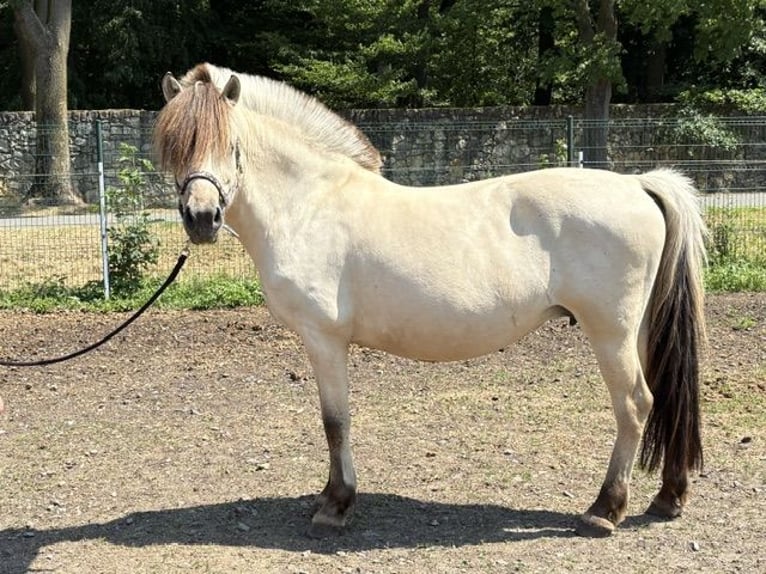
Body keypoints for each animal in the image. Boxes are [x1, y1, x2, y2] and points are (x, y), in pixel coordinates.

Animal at [153, 63, 707, 538]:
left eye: (231, 144)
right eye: (176, 147)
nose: (201, 218)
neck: (310, 204)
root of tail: (637, 184)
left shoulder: (324, 339)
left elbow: (335, 422)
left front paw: (336, 504)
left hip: (610, 332)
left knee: (634, 404)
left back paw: (605, 509)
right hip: (637, 331)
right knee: (662, 396)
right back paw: (668, 497)